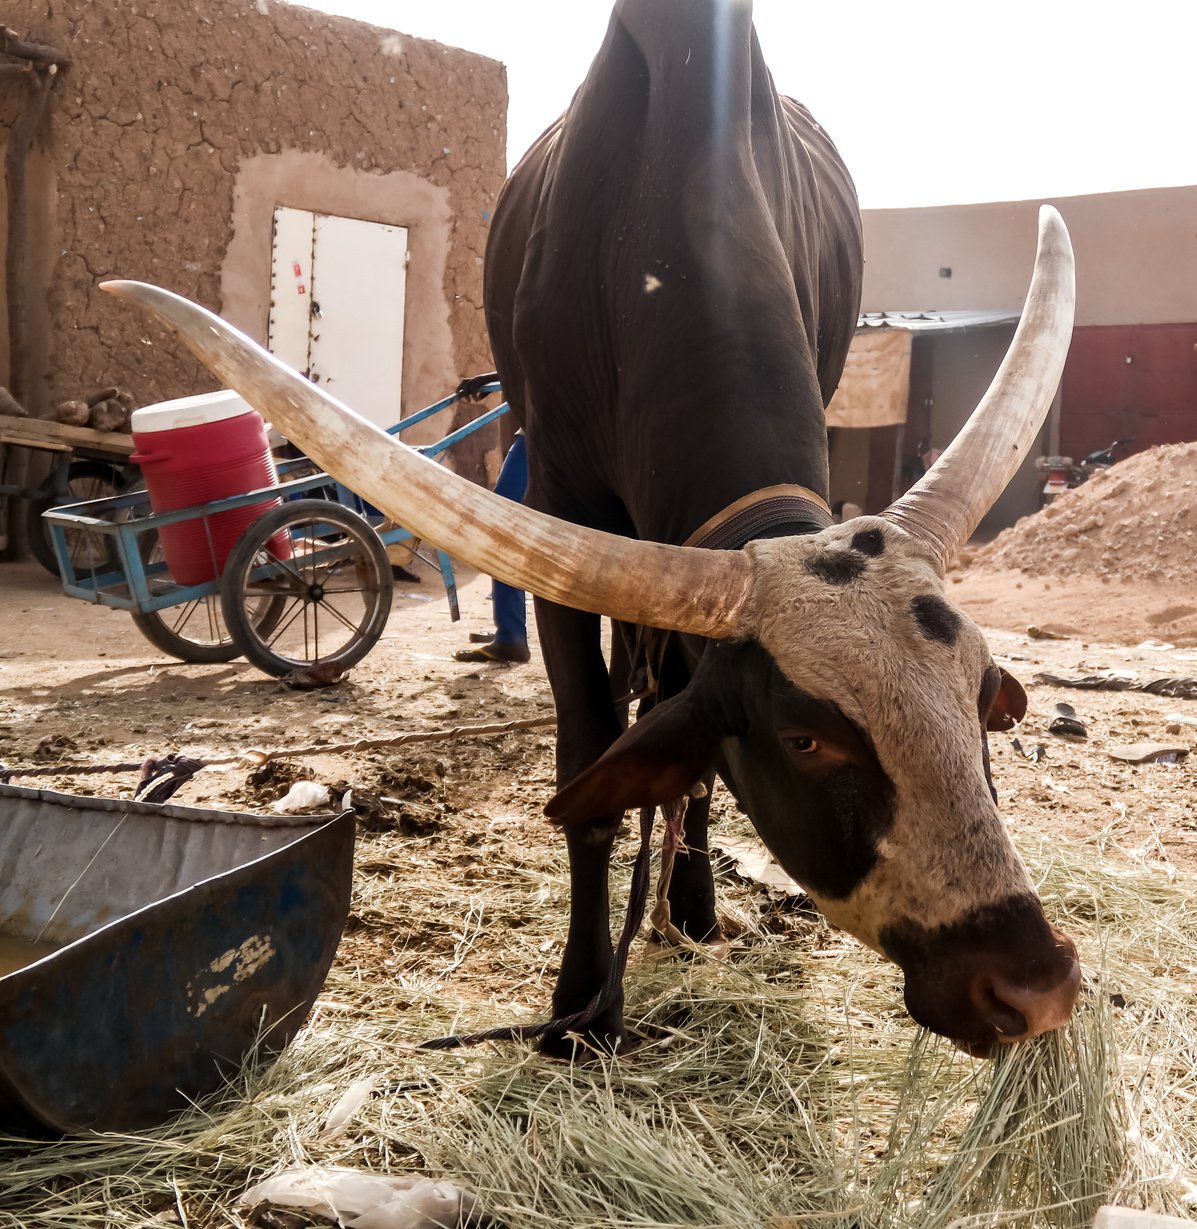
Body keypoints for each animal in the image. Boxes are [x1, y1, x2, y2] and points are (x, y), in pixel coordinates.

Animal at [100, 0, 1076, 1056]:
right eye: (806, 739)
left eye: (978, 698)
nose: (1030, 984)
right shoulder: (560, 506)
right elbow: (590, 769)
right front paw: (579, 1006)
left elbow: (685, 748)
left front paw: (688, 908)